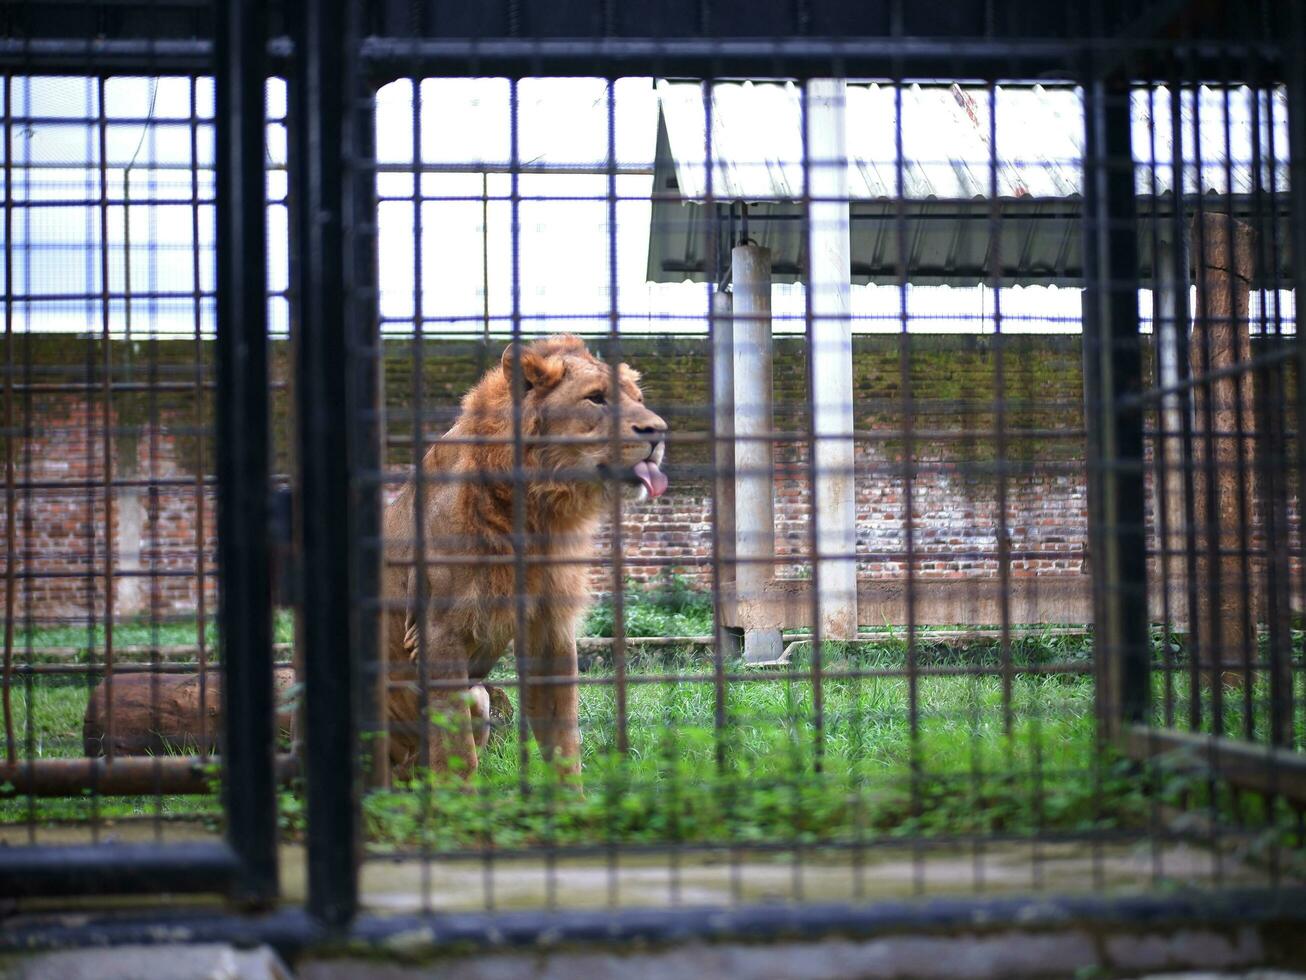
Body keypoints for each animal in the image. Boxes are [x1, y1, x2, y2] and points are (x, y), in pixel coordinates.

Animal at [378, 337, 663, 783]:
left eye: (638, 399)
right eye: (596, 398)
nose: (660, 432)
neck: (535, 509)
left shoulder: (549, 626)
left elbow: (563, 738)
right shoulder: (437, 633)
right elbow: (457, 754)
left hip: (479, 694)